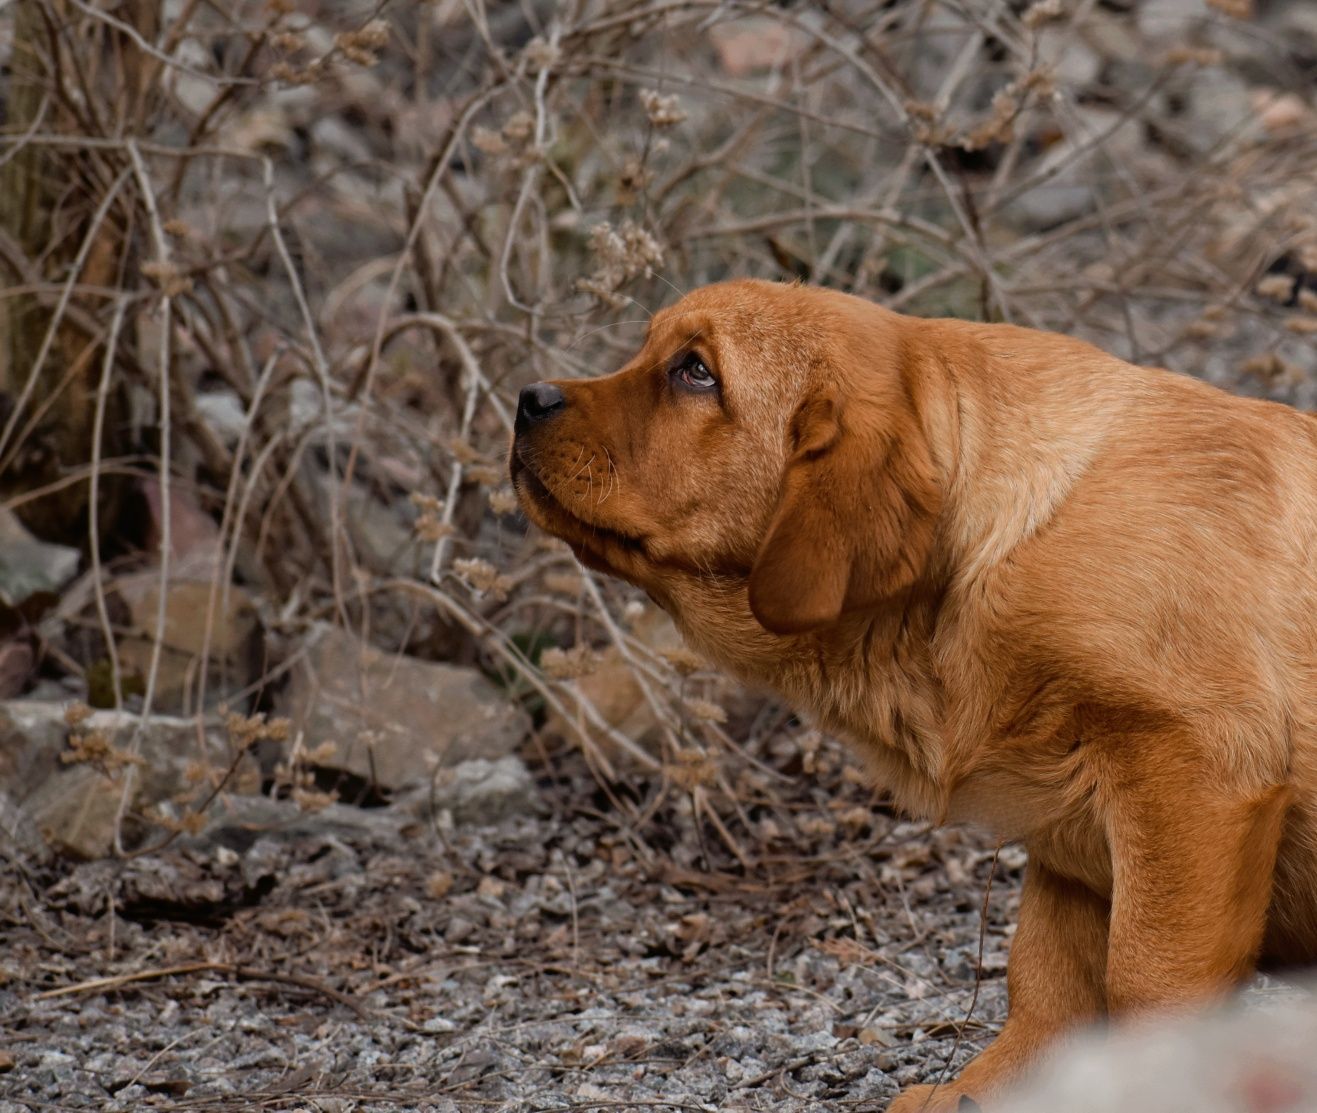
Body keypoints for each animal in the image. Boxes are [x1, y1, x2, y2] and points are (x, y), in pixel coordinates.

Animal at [508, 275, 1317, 1101]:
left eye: (695, 372)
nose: (528, 397)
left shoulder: (1195, 772)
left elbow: (1146, 981)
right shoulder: (1071, 827)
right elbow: (1047, 983)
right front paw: (988, 1090)